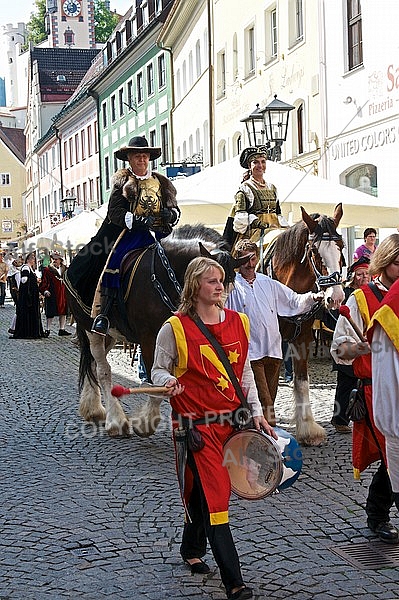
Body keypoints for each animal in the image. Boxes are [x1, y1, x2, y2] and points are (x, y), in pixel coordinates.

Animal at [67, 224, 252, 436]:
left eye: (231, 287)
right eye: (213, 282)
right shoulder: (149, 339)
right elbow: (156, 382)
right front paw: (146, 422)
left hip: (110, 335)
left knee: (91, 364)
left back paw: (93, 409)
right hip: (92, 330)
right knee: (102, 370)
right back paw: (115, 420)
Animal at [272, 204, 346, 442]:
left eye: (341, 246)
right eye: (314, 251)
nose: (336, 297)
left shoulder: (303, 339)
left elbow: (302, 381)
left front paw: (307, 428)